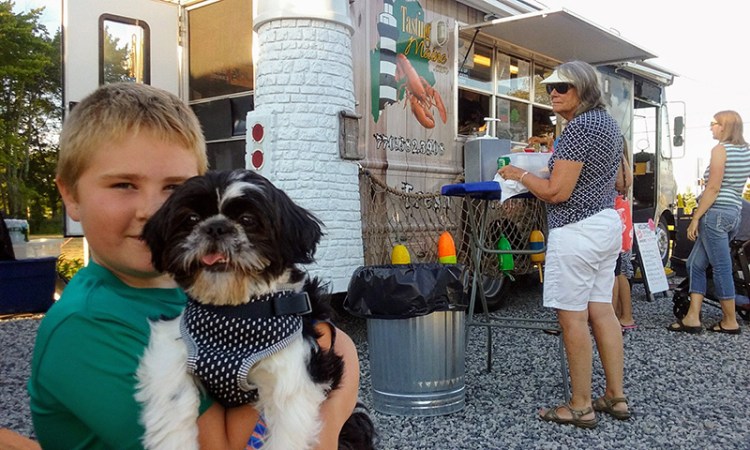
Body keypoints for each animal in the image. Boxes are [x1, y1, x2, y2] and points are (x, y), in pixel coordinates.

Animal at [136, 170, 376, 450]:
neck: (234, 312)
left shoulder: (294, 374)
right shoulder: (173, 345)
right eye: (192, 218)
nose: (216, 227)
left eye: (247, 220)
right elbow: (171, 400)